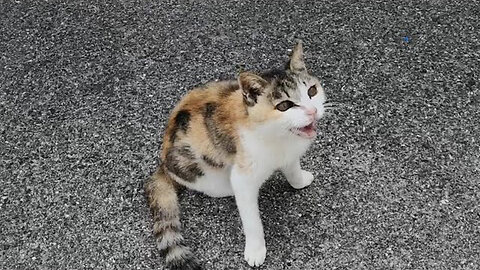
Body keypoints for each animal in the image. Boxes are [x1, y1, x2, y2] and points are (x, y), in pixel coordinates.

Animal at [145, 39, 326, 268]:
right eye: (285, 105)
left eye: (312, 91)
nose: (313, 111)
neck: (280, 137)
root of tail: (163, 164)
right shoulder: (243, 177)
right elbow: (252, 221)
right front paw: (256, 251)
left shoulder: (289, 154)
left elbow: (293, 170)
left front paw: (299, 180)